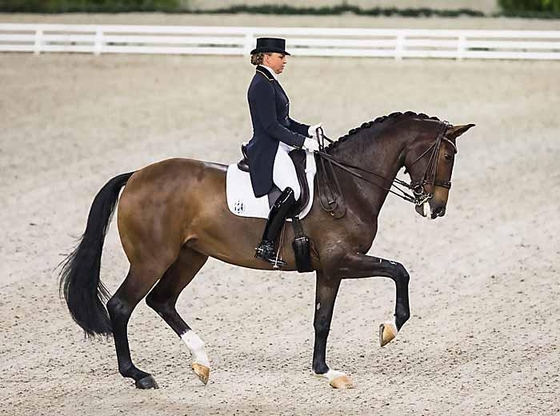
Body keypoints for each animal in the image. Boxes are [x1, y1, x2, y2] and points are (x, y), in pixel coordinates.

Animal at [60, 111, 472, 390]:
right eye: (448, 156)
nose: (437, 208)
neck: (348, 183)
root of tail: (135, 177)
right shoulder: (343, 261)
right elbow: (399, 270)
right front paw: (389, 329)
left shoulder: (330, 269)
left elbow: (322, 320)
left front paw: (326, 372)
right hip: (151, 260)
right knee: (121, 306)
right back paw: (139, 375)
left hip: (190, 256)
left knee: (161, 301)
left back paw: (201, 361)